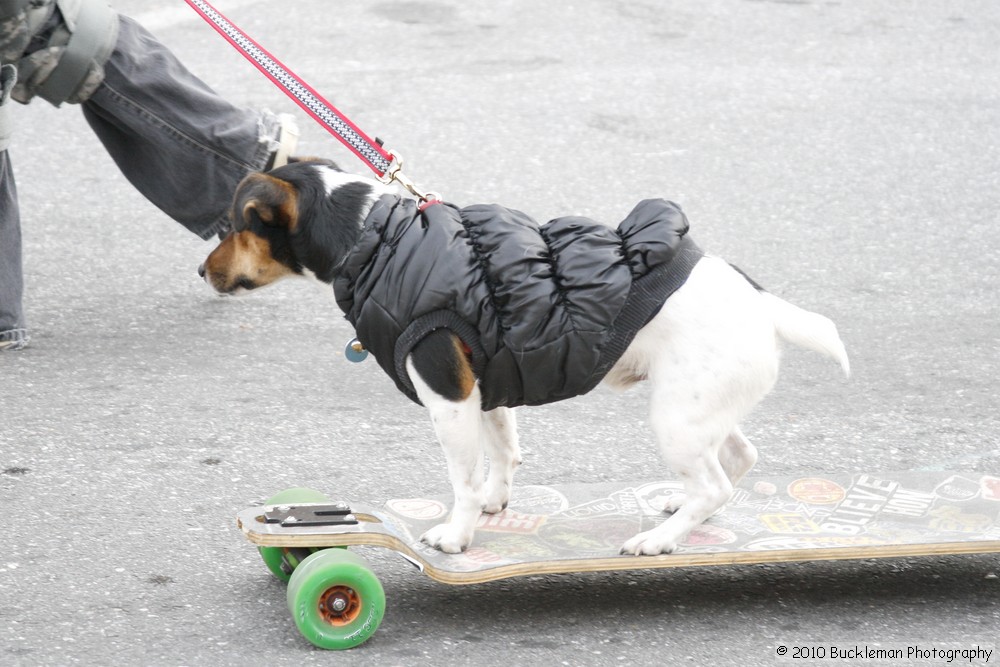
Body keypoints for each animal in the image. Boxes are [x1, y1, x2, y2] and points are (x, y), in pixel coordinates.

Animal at [199, 159, 848, 556]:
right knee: (737, 459)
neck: (375, 235)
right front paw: (495, 503)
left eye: (231, 225)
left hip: (676, 418)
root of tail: (763, 305)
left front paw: (457, 535)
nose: (201, 272)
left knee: (714, 483)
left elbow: (461, 479)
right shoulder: (488, 383)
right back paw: (678, 512)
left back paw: (659, 539)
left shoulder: (448, 395)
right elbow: (503, 452)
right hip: (699, 408)